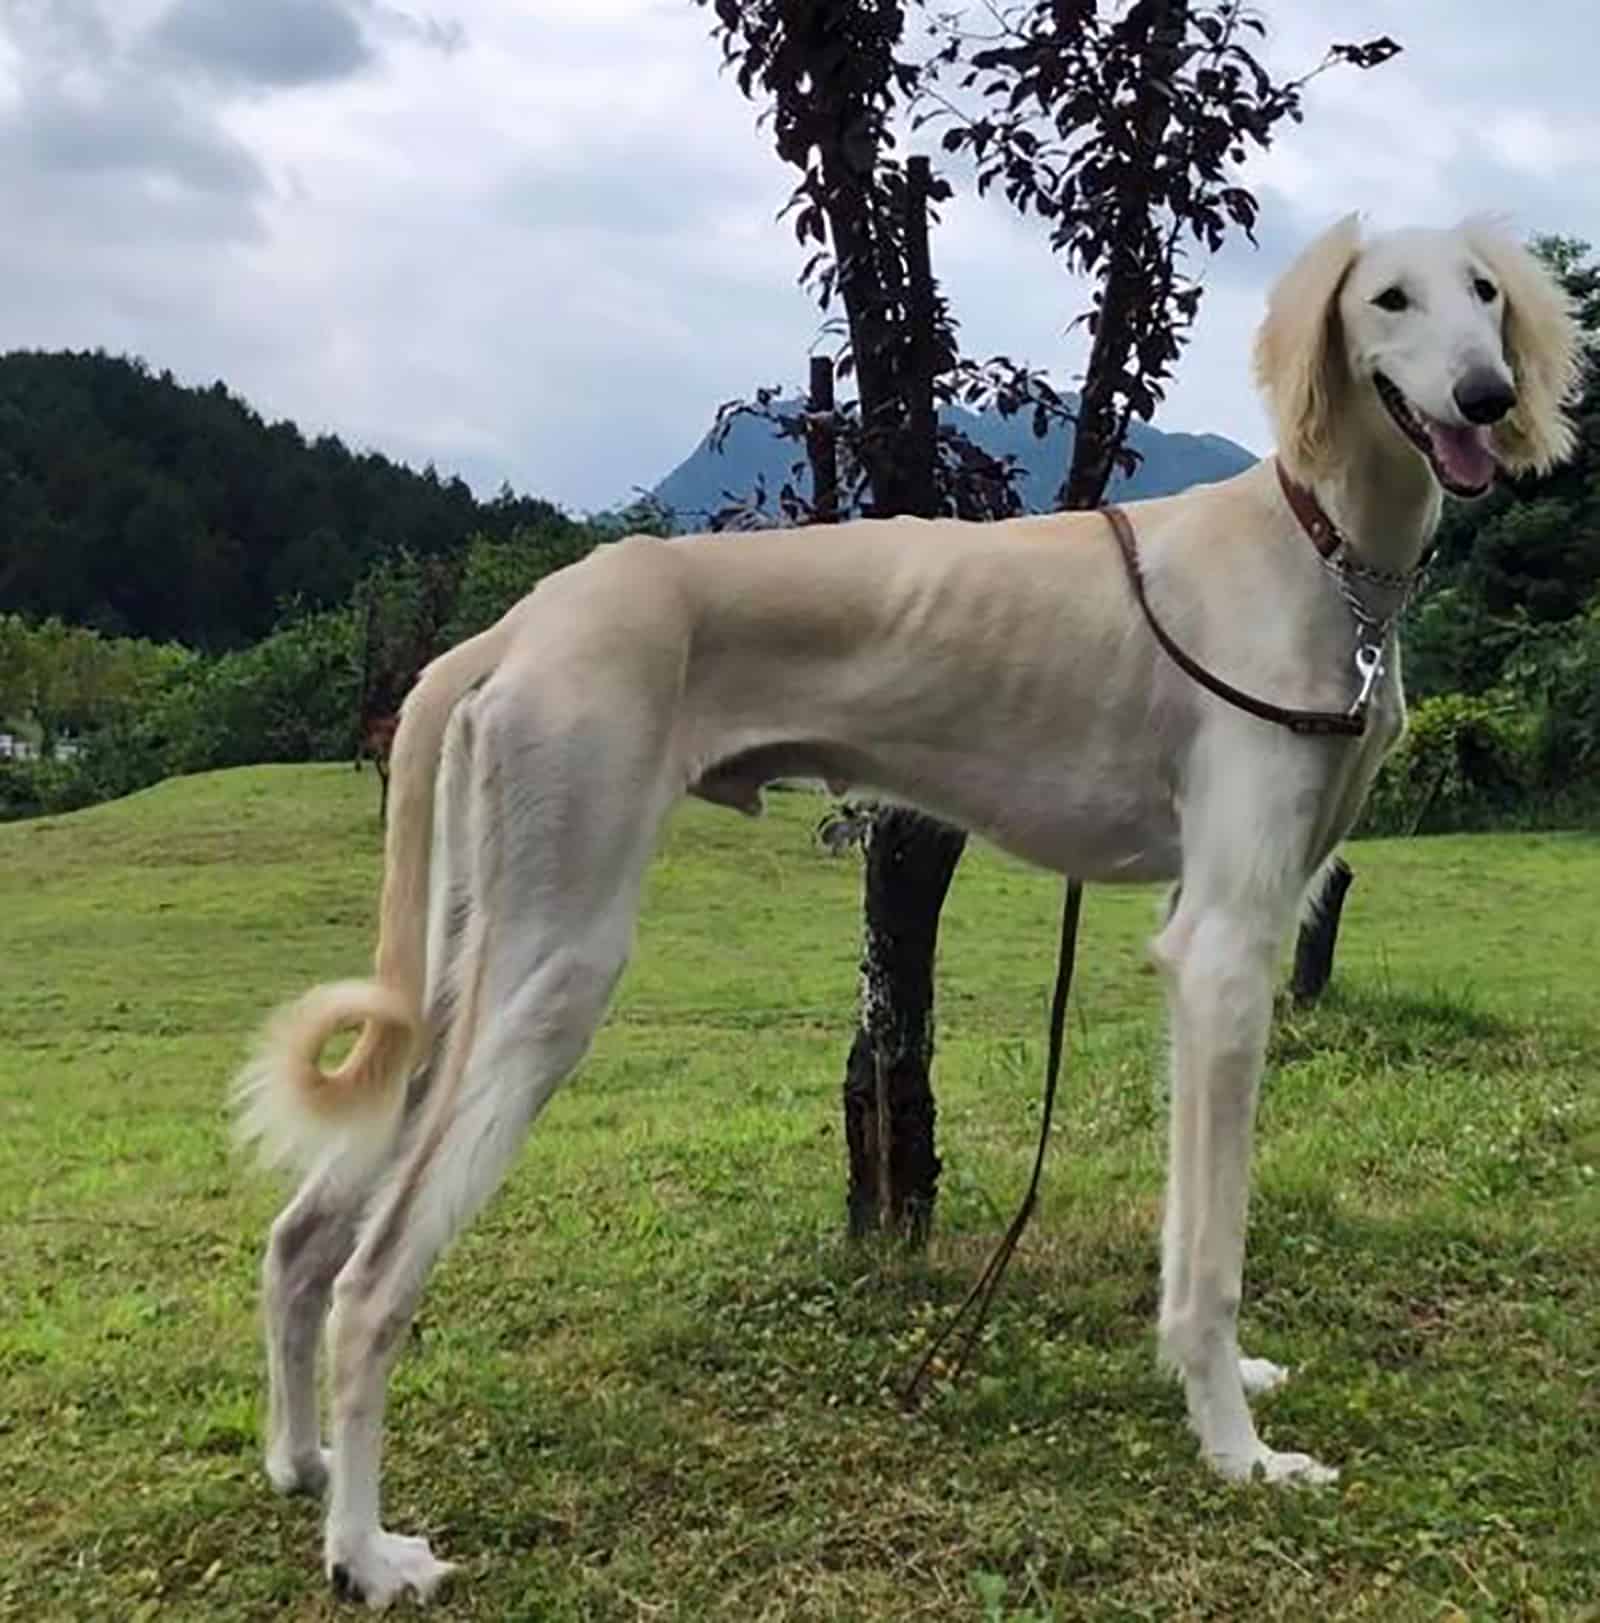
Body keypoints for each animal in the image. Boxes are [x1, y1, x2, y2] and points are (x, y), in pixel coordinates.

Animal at [236, 219, 1583, 1610]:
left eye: (1486, 295)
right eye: (1388, 300)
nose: (1484, 397)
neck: (1318, 553)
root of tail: (515, 625)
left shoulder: (1199, 928)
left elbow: (1184, 1228)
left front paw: (1217, 1386)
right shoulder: (1224, 950)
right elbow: (1213, 1245)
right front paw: (1235, 1449)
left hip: (472, 960)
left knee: (303, 1237)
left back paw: (299, 1463)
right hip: (555, 961)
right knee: (370, 1279)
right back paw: (362, 1551)